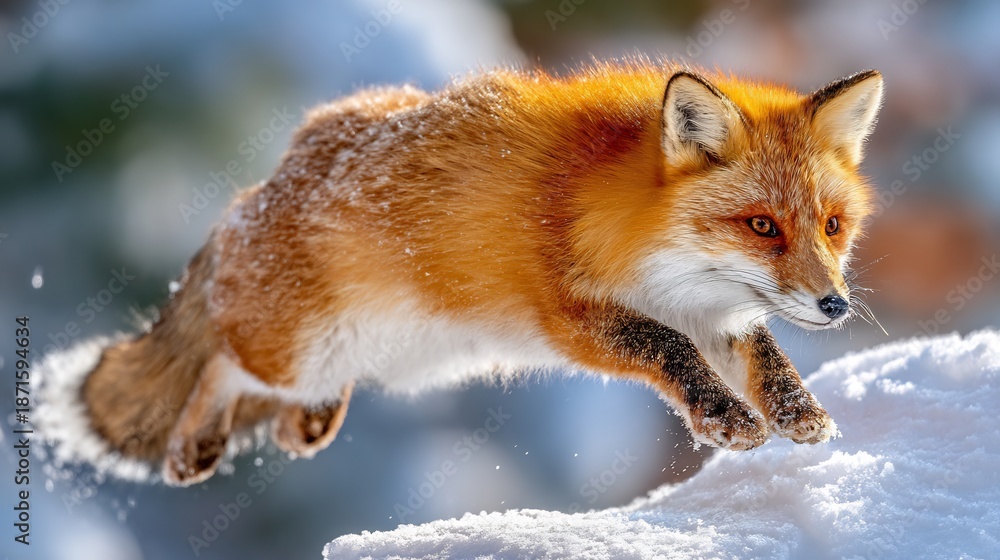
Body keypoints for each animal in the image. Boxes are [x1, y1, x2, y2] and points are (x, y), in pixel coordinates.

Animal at [37, 60, 883, 486]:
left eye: (831, 226)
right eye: (762, 227)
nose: (835, 305)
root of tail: (261, 188)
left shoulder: (715, 315)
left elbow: (764, 355)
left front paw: (799, 413)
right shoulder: (572, 315)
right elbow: (666, 349)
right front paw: (727, 421)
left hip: (373, 358)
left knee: (275, 405)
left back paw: (306, 423)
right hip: (297, 350)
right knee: (218, 359)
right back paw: (193, 446)